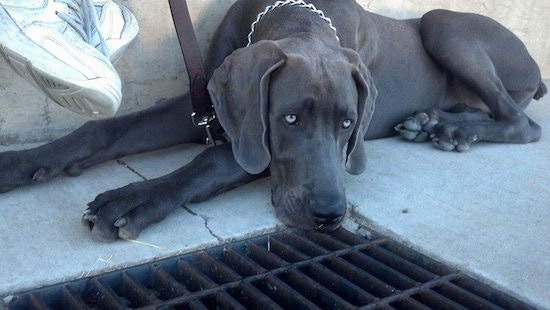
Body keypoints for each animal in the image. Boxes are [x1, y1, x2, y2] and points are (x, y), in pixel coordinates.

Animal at [0, 0, 544, 242]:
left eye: (348, 124)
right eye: (290, 118)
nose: (330, 215)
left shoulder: (249, 145)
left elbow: (208, 164)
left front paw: (134, 198)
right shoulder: (207, 106)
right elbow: (104, 128)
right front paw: (22, 162)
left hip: (442, 23)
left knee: (525, 125)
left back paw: (452, 130)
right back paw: (432, 121)